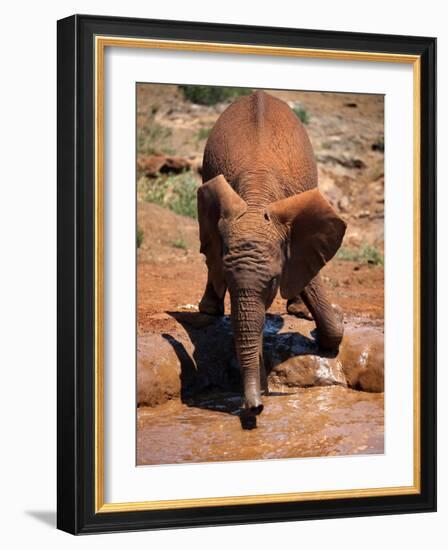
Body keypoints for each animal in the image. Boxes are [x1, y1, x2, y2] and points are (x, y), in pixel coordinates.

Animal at [197, 91, 346, 418]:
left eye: (273, 283)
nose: (255, 407)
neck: (255, 202)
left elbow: (310, 277)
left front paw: (319, 331)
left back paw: (300, 312)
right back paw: (208, 310)